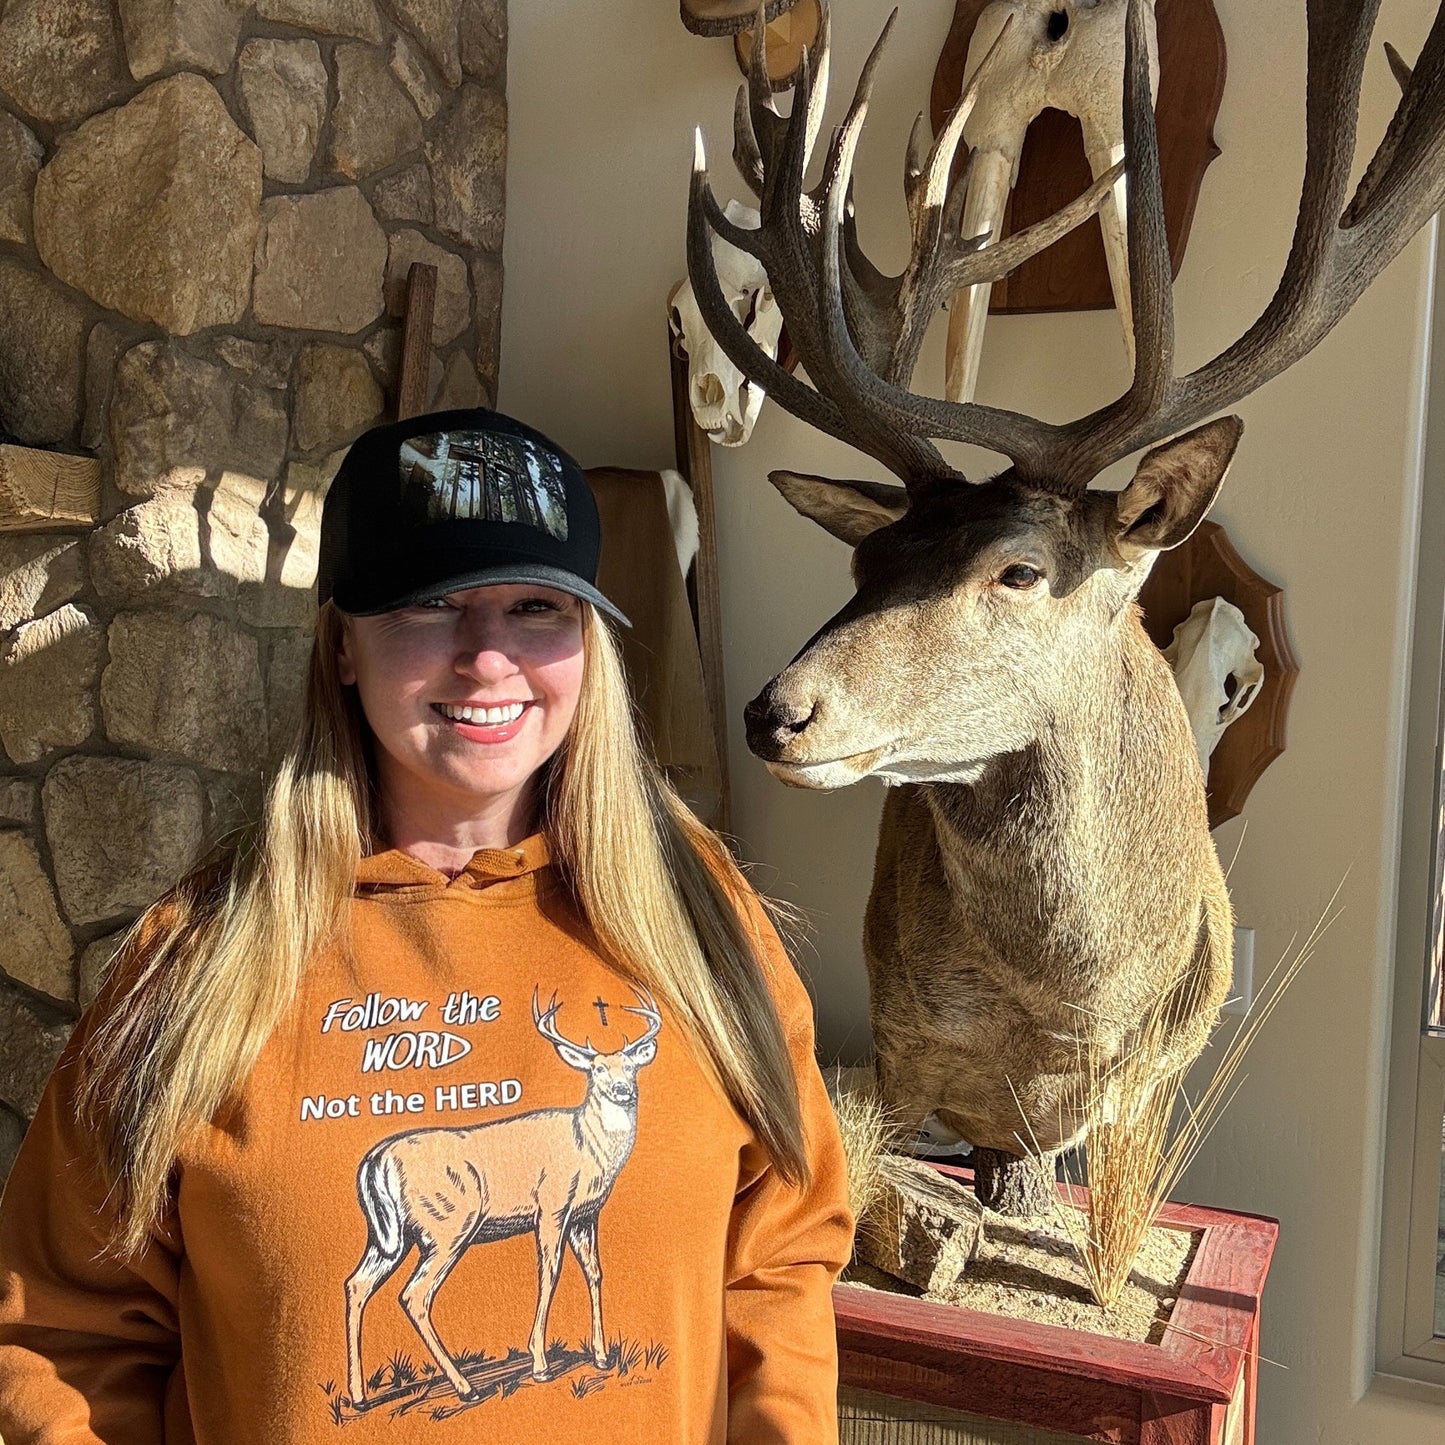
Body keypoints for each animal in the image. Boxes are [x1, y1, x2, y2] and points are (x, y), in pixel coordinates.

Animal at [343, 987, 661, 1408]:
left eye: (630, 1066)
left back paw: (360, 1396)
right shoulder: (553, 1204)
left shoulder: (586, 1215)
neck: (588, 1146)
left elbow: (594, 1273)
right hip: (446, 1223)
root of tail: (375, 1160)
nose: (623, 1090)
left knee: (357, 1285)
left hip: (389, 1236)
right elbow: (549, 1273)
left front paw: (602, 1356)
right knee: (414, 1295)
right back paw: (466, 1388)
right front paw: (540, 1364)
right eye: (597, 1069)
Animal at [687, 0, 1445, 1212]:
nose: (778, 710)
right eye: (865, 563)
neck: (1066, 1017)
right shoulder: (896, 1052)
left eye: (1019, 570)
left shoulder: (1148, 1086)